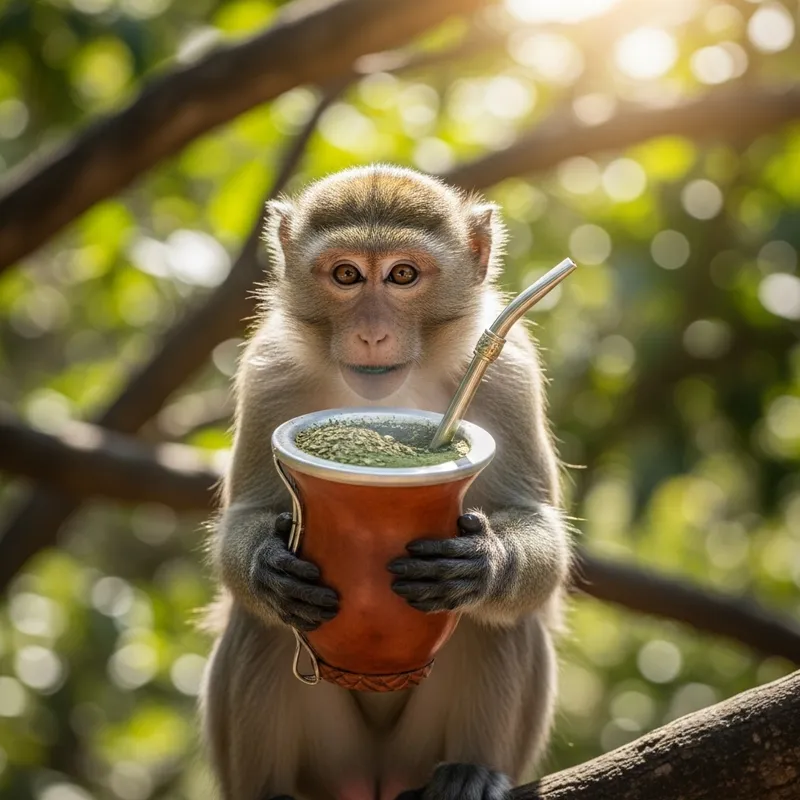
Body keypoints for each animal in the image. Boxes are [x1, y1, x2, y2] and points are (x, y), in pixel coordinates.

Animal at [200, 164, 572, 800]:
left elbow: (533, 525)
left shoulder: (509, 368)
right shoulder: (269, 370)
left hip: (415, 751)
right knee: (262, 626)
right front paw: (269, 567)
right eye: (347, 275)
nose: (372, 333)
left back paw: (471, 769)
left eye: (402, 275)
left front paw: (486, 561)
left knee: (501, 621)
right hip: (331, 760)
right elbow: (245, 520)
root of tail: (374, 779)